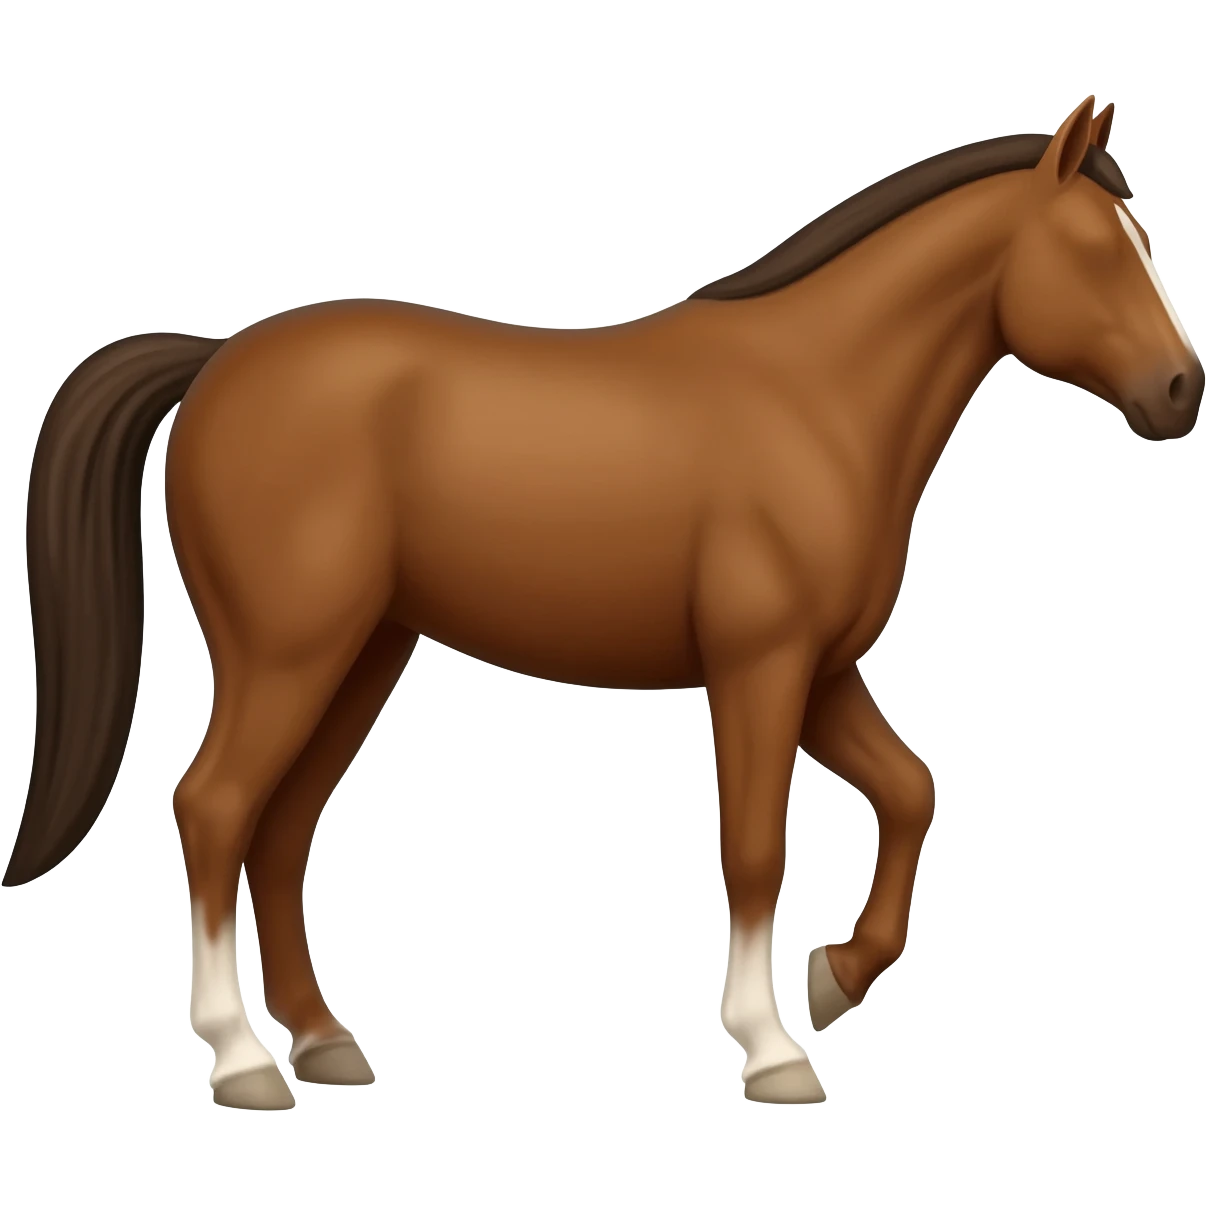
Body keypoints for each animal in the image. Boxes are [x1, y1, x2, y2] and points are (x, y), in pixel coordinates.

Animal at [9, 94, 1200, 1110]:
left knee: (282, 827)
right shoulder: (759, 667)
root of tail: (216, 360)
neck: (818, 400)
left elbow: (911, 790)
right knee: (215, 809)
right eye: (1100, 251)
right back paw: (241, 1061)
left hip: (364, 655)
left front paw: (837, 979)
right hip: (288, 654)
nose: (1181, 390)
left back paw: (324, 1042)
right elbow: (757, 846)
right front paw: (774, 1048)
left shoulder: (820, 673)